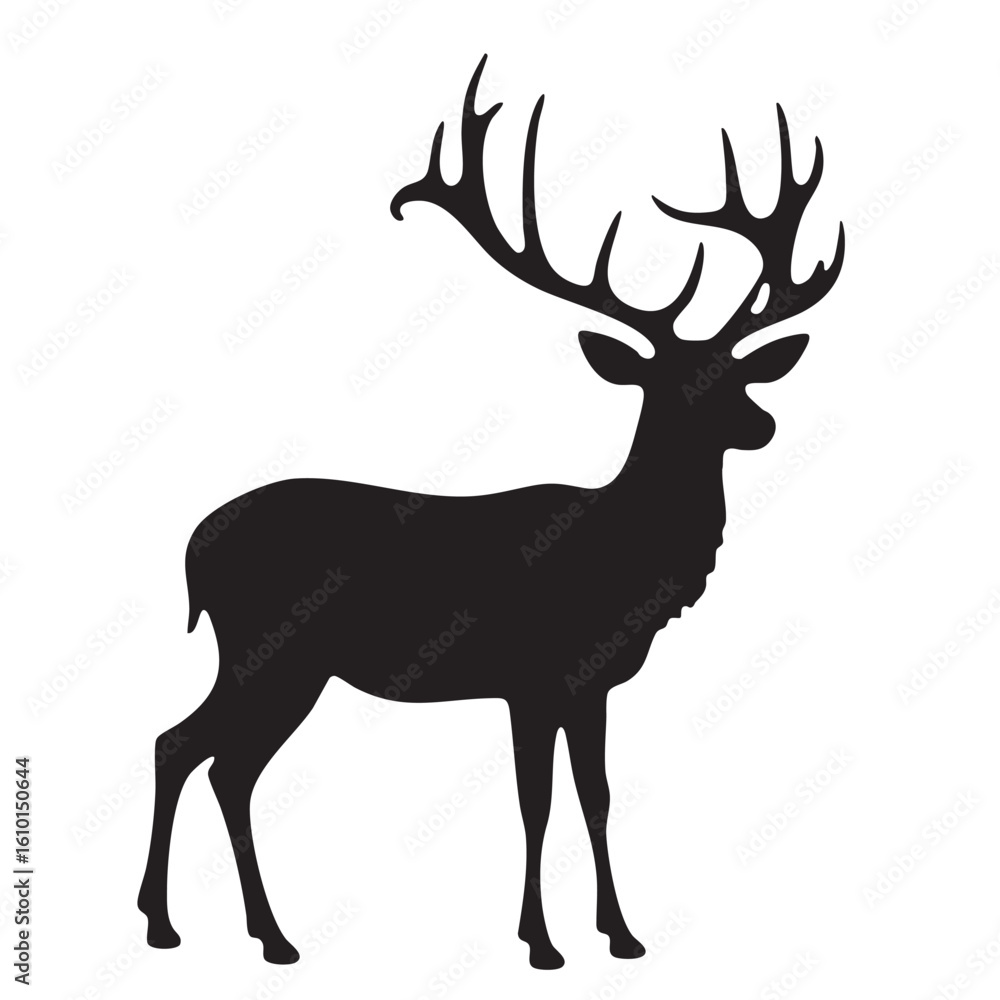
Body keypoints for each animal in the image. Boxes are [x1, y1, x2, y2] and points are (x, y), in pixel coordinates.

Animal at [137, 55, 844, 970]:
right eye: (669, 385)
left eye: (738, 375)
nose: (762, 426)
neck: (621, 560)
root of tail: (193, 548)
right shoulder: (531, 676)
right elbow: (534, 803)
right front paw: (541, 943)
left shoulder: (589, 684)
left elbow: (596, 796)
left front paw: (621, 934)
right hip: (270, 647)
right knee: (193, 748)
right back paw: (187, 926)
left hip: (283, 661)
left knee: (216, 759)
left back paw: (253, 933)